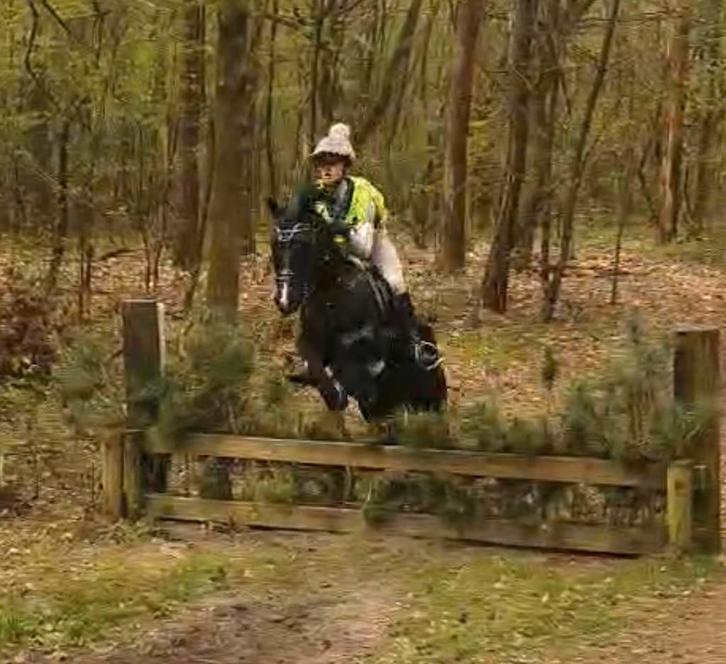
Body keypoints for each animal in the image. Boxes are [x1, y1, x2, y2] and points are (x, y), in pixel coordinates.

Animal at [267, 195, 446, 422]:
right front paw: (330, 392)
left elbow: (357, 374)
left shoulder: (365, 357)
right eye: (273, 243)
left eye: (303, 244)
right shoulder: (312, 343)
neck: (332, 293)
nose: (284, 299)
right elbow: (315, 365)